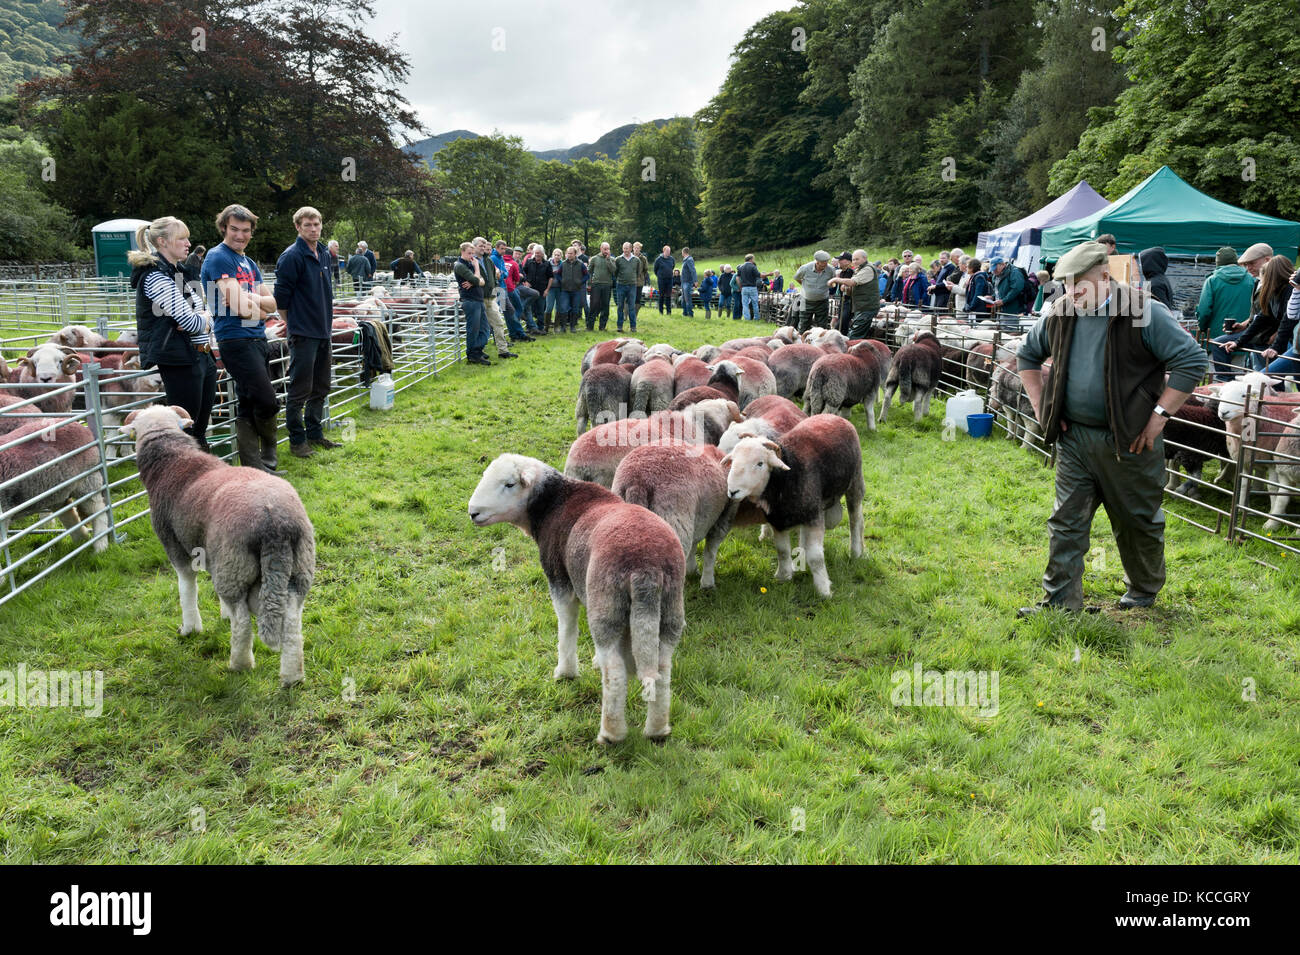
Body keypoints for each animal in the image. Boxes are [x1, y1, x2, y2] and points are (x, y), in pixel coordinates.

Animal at [0, 418, 107, 553]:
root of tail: (81, 426)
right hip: (57, 492)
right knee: (67, 512)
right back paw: (81, 539)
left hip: (88, 480)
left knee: (98, 510)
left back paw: (100, 547)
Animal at [122, 402, 315, 686]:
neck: (172, 459)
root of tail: (274, 522)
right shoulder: (209, 550)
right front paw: (223, 614)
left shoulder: (175, 546)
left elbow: (187, 589)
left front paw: (190, 628)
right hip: (296, 567)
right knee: (291, 623)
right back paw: (293, 677)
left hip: (234, 564)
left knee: (243, 622)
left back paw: (239, 665)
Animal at [470, 454, 691, 748]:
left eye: (509, 484)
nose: (473, 512)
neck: (552, 503)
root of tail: (647, 568)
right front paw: (594, 660)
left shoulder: (560, 581)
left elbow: (567, 629)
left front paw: (565, 672)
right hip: (668, 608)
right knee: (662, 669)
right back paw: (657, 730)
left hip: (607, 602)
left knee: (615, 673)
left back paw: (611, 733)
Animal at [722, 413, 863, 595]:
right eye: (733, 461)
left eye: (760, 463)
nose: (733, 491)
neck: (785, 478)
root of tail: (834, 416)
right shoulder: (778, 521)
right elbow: (782, 551)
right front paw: (783, 576)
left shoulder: (814, 517)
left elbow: (816, 557)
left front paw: (824, 590)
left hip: (855, 481)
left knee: (855, 519)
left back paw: (856, 551)